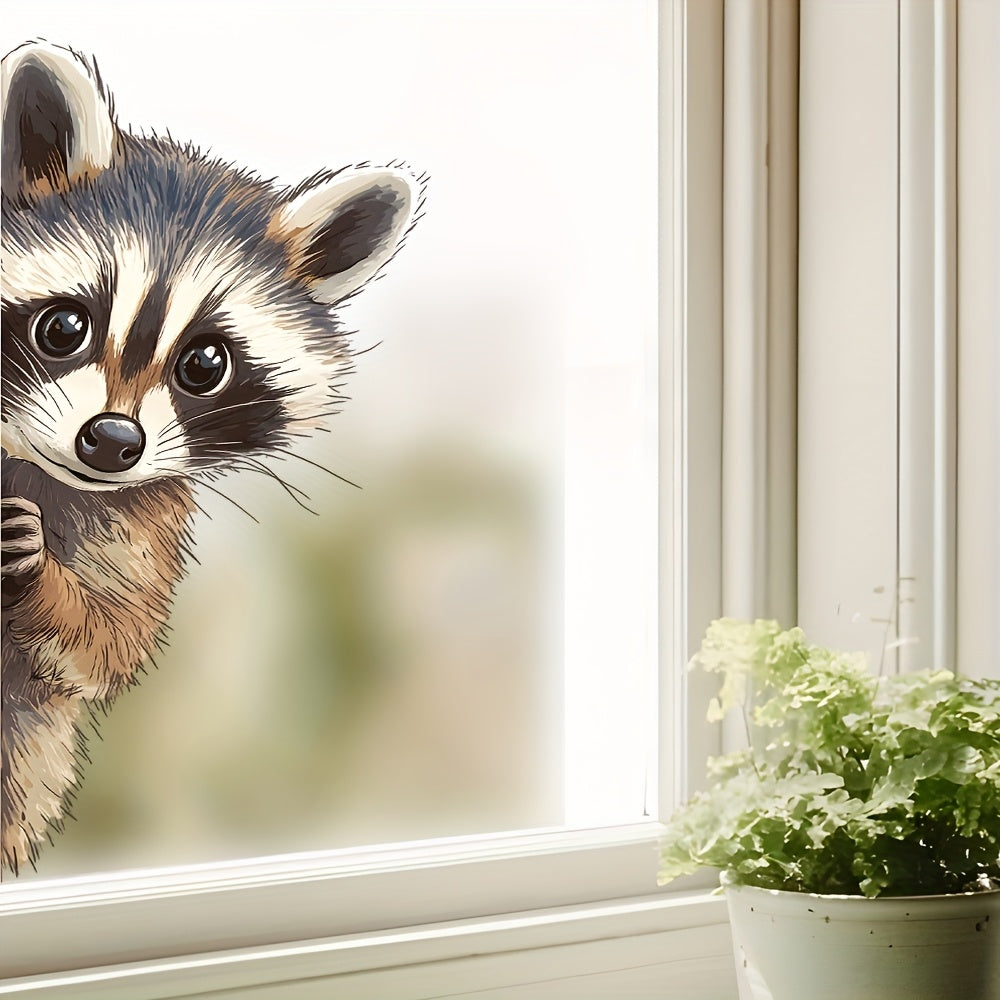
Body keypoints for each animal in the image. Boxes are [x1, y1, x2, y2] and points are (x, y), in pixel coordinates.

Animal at [0, 41, 423, 874]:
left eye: (204, 364)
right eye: (64, 326)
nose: (111, 442)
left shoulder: (141, 525)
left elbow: (105, 642)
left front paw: (45, 580)